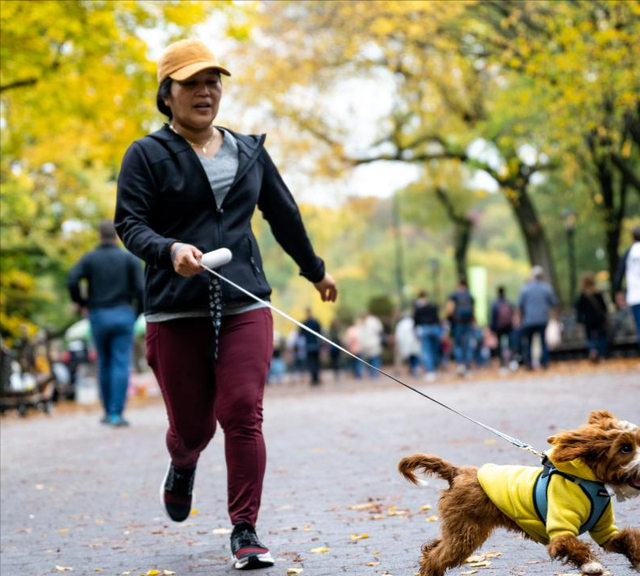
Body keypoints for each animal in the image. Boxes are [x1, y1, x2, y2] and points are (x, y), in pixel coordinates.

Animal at [398, 410, 640, 576]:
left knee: (434, 548)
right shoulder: (560, 531)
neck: (587, 481)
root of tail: (457, 472)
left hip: (461, 528)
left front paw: (636, 559)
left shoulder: (605, 533)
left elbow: (628, 538)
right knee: (437, 558)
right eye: (625, 448)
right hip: (465, 533)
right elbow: (574, 545)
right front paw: (592, 565)